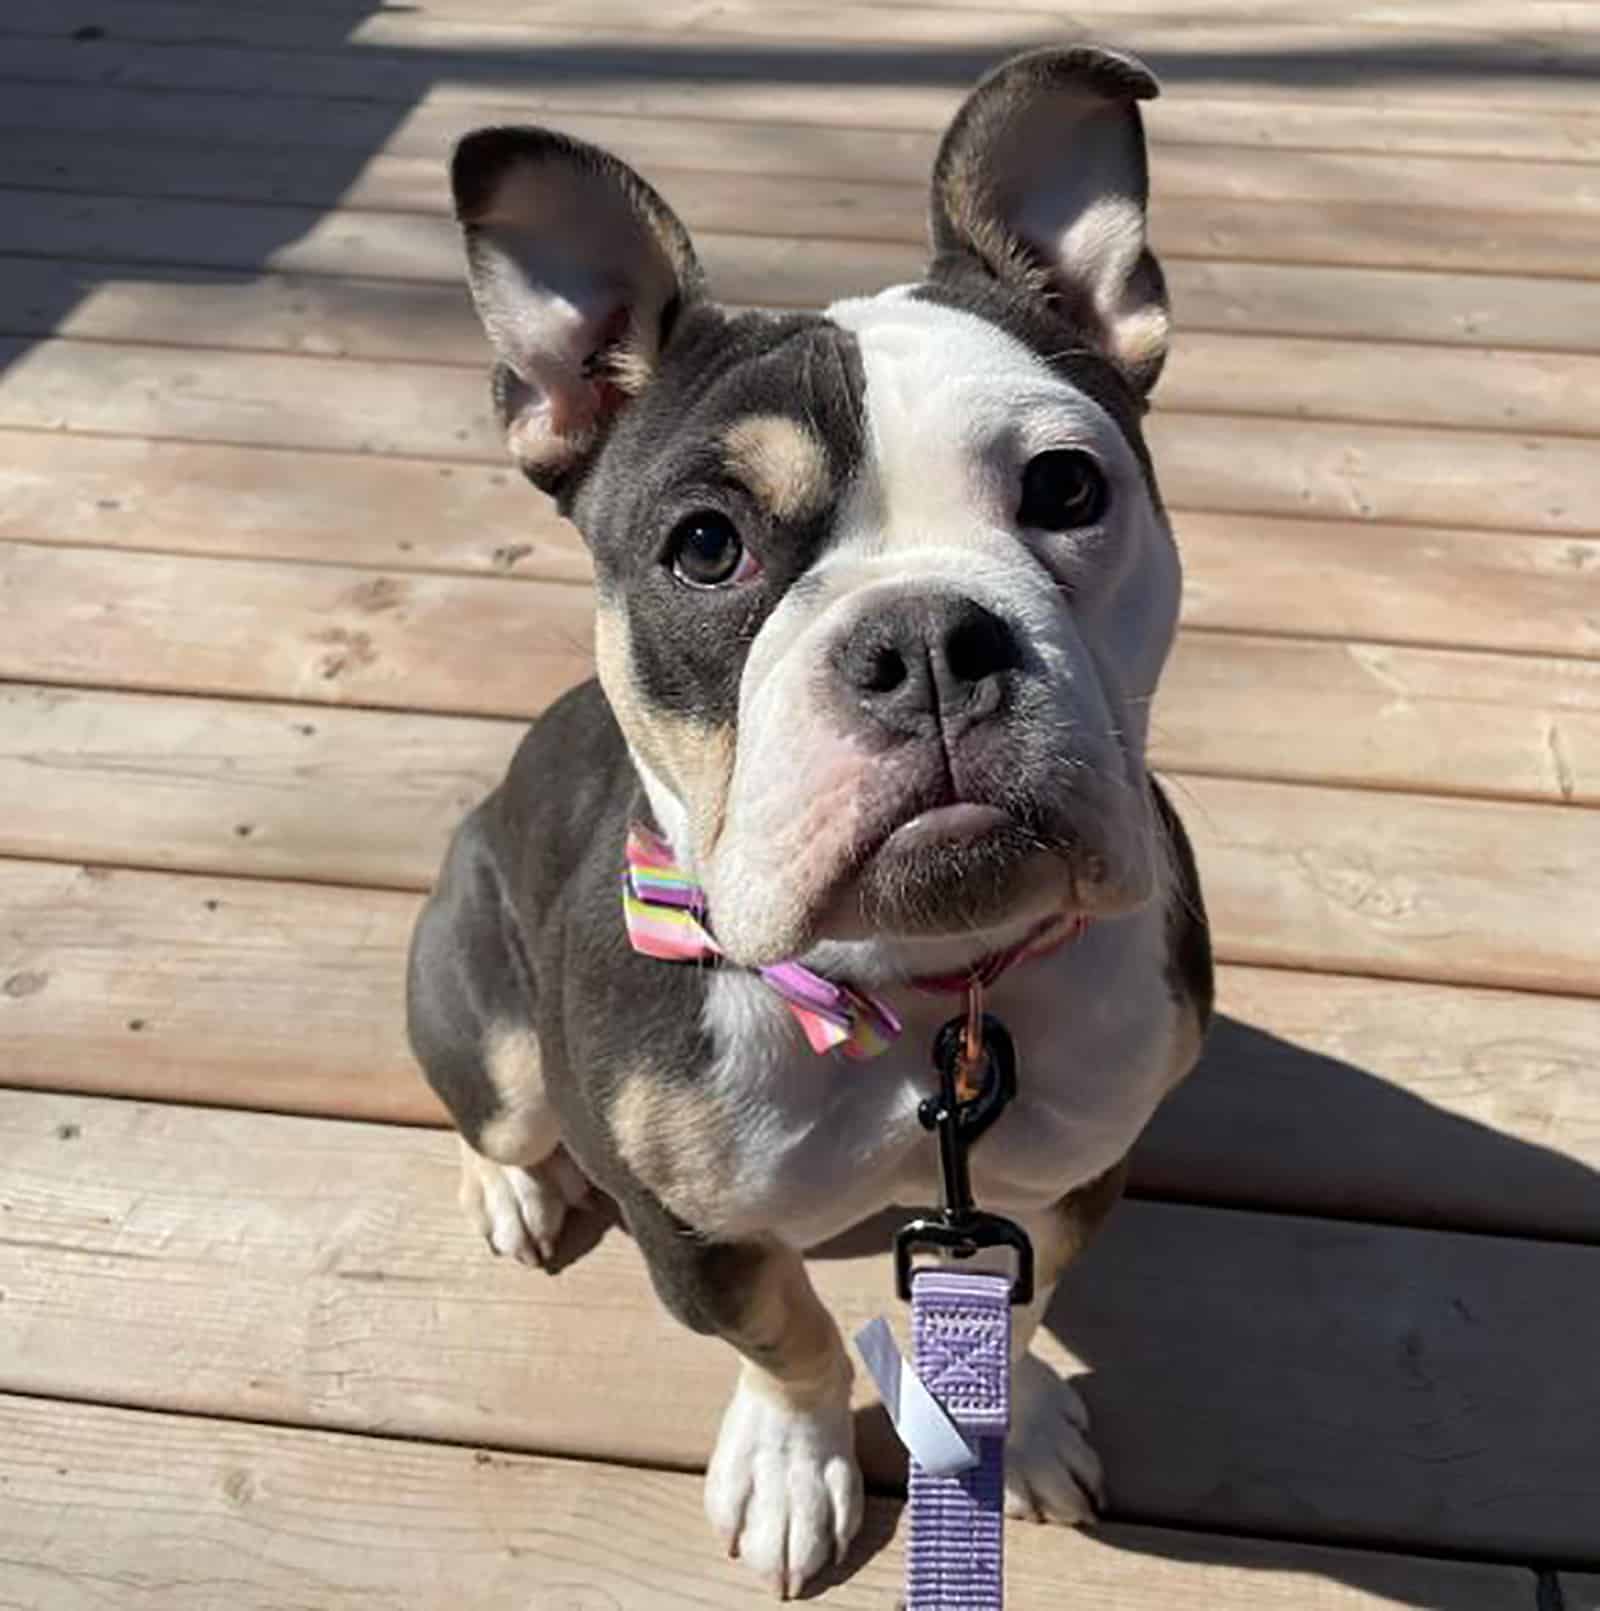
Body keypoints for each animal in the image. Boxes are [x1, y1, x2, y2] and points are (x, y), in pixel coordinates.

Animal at [409, 47, 1211, 1598]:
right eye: (705, 546)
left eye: (1068, 487)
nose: (928, 640)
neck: (916, 991)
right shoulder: (691, 1229)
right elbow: (782, 1337)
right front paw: (792, 1461)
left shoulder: (1071, 1173)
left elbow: (1014, 1311)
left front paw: (1015, 1428)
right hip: (484, 1009)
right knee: (497, 1106)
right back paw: (512, 1191)